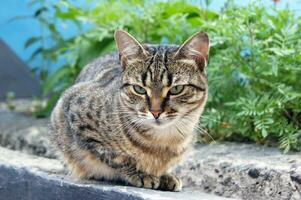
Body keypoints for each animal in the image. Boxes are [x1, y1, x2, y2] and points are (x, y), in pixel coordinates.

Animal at [49, 29, 209, 191]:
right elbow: (115, 157)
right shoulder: (75, 113)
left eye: (176, 89)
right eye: (139, 89)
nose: (155, 112)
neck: (162, 141)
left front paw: (165, 175)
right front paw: (140, 174)